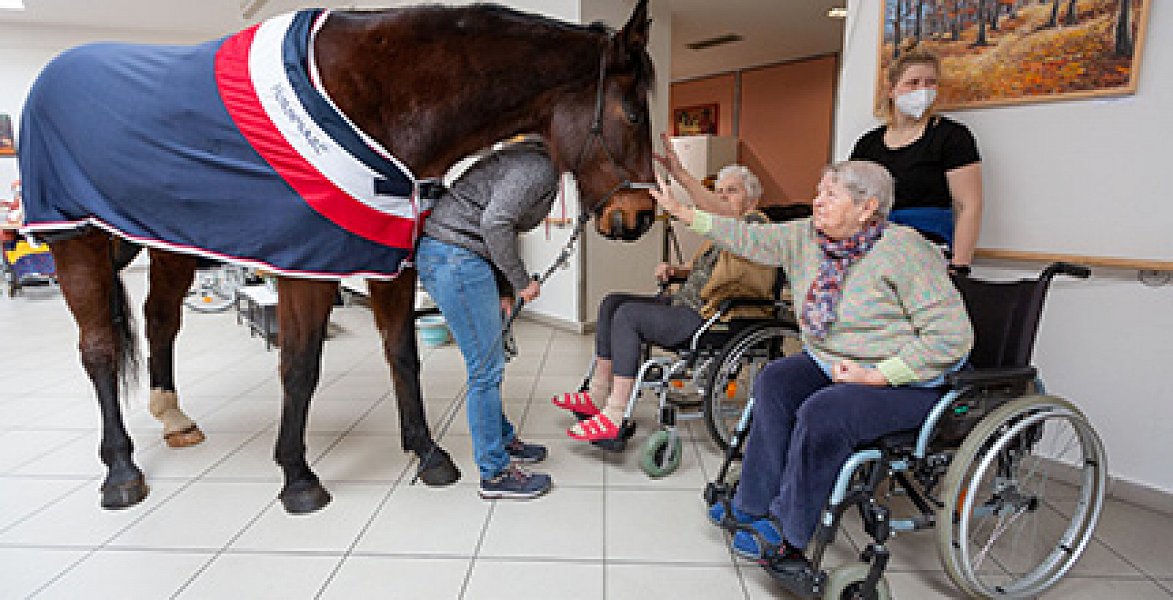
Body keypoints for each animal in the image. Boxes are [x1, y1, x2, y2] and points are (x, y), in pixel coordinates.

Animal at [20, 2, 661, 513]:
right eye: (632, 113)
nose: (640, 217)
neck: (375, 100)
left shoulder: (389, 263)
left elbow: (403, 355)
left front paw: (427, 454)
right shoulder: (309, 268)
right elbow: (300, 366)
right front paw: (298, 477)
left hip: (171, 243)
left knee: (160, 320)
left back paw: (174, 418)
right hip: (76, 240)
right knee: (99, 351)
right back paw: (120, 469)